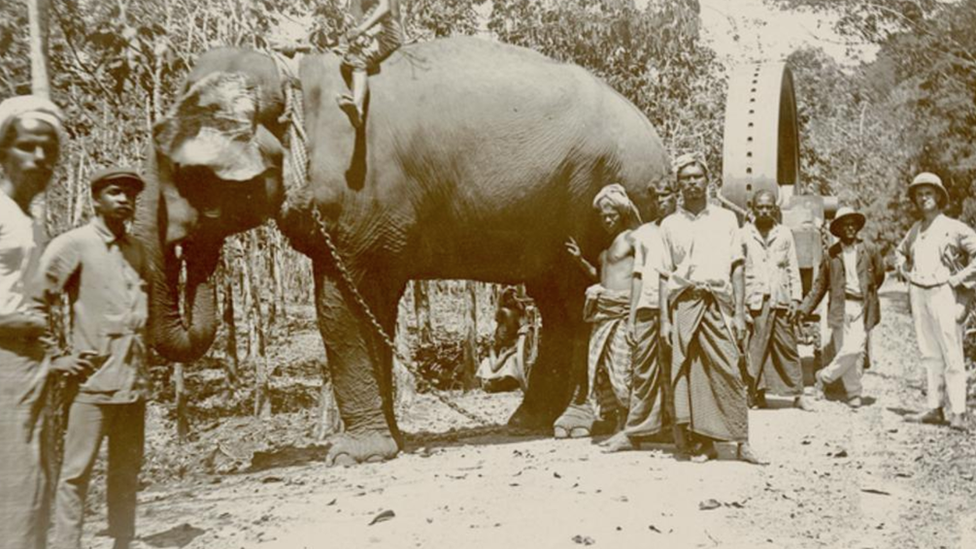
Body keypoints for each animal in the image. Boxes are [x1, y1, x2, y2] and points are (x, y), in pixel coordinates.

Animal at [137, 35, 672, 462]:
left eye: (189, 172)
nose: (193, 249)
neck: (292, 80)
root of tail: (654, 136)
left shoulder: (359, 204)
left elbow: (339, 311)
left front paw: (352, 456)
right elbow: (370, 308)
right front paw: (388, 443)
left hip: (597, 193)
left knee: (580, 300)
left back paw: (571, 426)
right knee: (557, 302)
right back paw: (527, 422)